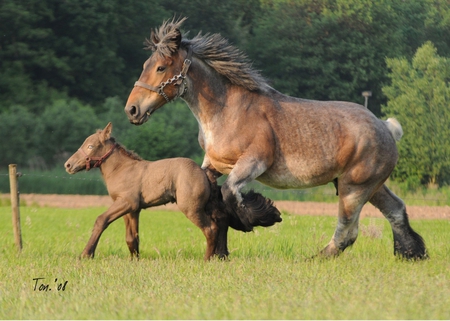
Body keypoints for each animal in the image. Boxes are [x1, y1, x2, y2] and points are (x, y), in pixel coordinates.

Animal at [125, 17, 428, 258]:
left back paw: (316, 258)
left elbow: (230, 193)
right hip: (371, 186)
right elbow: (217, 202)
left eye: (161, 68)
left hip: (354, 188)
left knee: (347, 230)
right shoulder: (212, 165)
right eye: (145, 64)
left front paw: (260, 217)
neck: (227, 110)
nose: (132, 110)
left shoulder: (254, 162)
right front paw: (221, 250)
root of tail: (386, 127)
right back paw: (412, 254)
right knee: (396, 210)